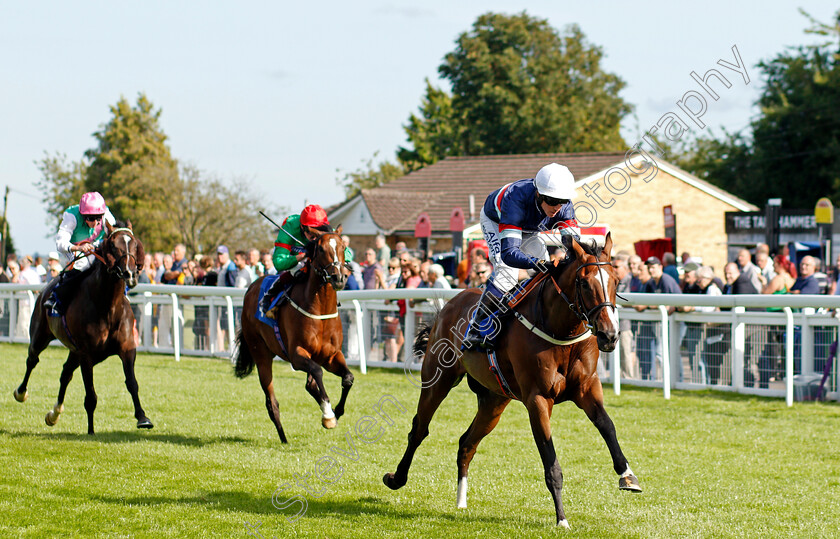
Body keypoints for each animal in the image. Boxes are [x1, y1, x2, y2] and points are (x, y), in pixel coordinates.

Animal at [12, 221, 153, 436]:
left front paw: (142, 418)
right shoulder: (86, 353)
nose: (130, 274)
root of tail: (45, 289)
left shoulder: (127, 348)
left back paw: (54, 414)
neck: (108, 306)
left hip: (75, 351)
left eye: (135, 244)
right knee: (32, 360)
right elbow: (91, 396)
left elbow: (132, 383)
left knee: (65, 373)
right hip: (40, 335)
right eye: (113, 246)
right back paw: (21, 393)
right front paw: (91, 431)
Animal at [235, 228, 352, 442]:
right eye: (320, 249)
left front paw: (337, 411)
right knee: (271, 402)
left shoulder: (331, 355)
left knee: (310, 385)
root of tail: (252, 287)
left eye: (343, 247)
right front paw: (328, 415)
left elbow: (348, 377)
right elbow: (318, 372)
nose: (339, 278)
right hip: (261, 354)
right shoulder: (297, 355)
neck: (320, 311)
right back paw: (284, 439)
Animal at [384, 234, 640, 528]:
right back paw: (396, 478)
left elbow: (607, 426)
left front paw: (627, 475)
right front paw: (562, 519)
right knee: (419, 430)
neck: (560, 331)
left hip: (494, 400)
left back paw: (461, 501)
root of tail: (451, 303)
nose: (609, 335)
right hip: (437, 380)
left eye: (616, 280)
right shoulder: (538, 399)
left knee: (466, 443)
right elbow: (551, 461)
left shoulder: (587, 388)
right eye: (585, 283)